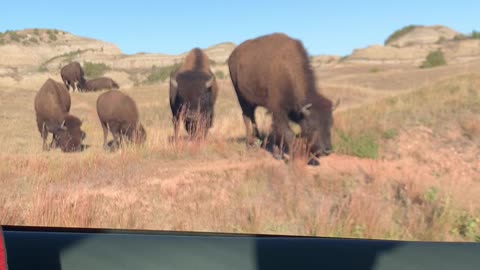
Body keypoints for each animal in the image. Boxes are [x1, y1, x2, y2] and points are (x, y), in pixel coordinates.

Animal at [228, 33, 338, 165]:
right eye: (312, 126)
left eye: (330, 123)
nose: (326, 150)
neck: (288, 71)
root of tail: (232, 56)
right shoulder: (278, 111)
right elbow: (288, 134)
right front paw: (291, 159)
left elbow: (277, 131)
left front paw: (277, 154)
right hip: (242, 98)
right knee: (246, 117)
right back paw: (250, 145)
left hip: (251, 102)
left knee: (252, 117)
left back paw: (259, 140)